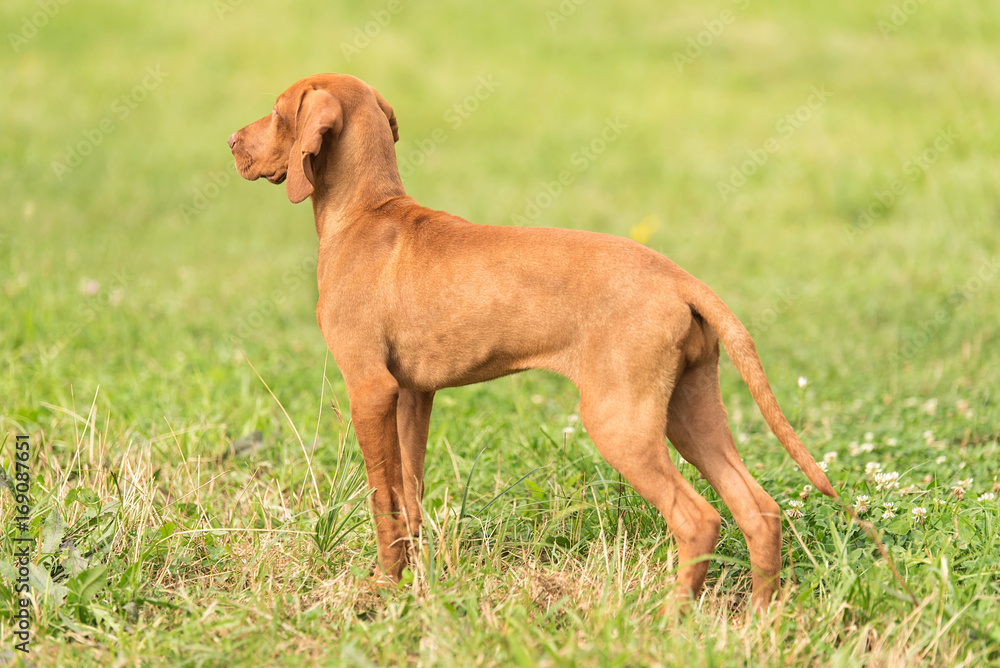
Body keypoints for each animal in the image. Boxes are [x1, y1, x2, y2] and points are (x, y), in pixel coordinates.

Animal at [229, 73, 836, 612]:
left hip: (619, 420)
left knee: (698, 519)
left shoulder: (369, 389)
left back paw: (671, 621)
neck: (365, 214)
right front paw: (415, 586)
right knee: (759, 510)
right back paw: (759, 620)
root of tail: (679, 278)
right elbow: (410, 495)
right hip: (688, 410)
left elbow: (384, 500)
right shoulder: (413, 396)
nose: (232, 142)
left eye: (278, 113)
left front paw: (381, 589)